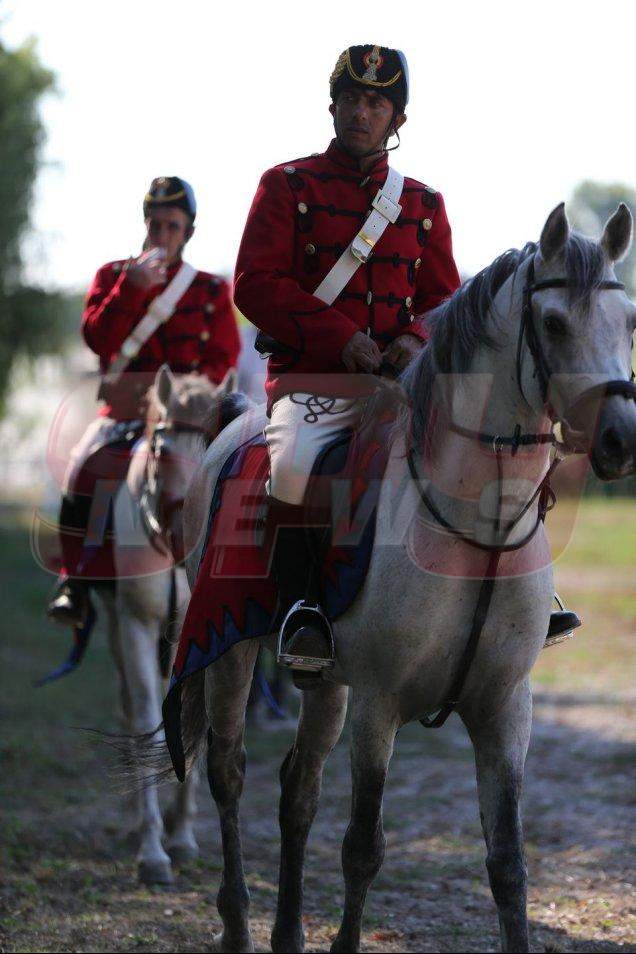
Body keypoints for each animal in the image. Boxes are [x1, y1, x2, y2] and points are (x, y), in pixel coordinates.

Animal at [169, 201, 636, 944]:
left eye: (629, 323)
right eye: (555, 323)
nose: (623, 438)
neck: (478, 525)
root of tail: (233, 426)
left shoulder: (505, 708)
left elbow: (508, 863)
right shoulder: (379, 703)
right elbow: (364, 847)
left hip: (324, 682)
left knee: (298, 789)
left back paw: (286, 932)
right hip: (230, 649)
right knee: (229, 772)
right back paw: (239, 924)